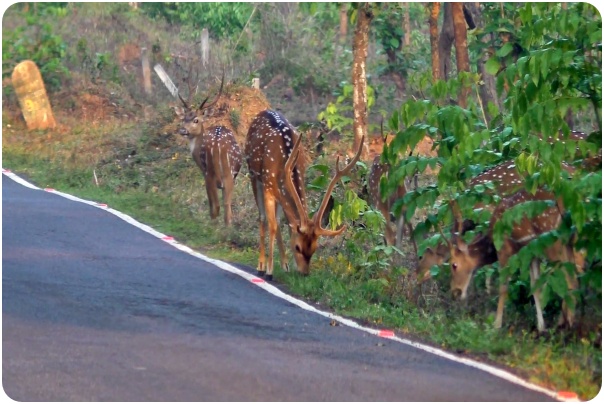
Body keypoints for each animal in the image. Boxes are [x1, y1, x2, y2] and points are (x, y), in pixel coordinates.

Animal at [173, 77, 242, 226]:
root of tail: (217, 147)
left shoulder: (204, 172)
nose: (182, 130)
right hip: (229, 175)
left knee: (217, 205)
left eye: (196, 120)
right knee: (227, 207)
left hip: (211, 174)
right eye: (184, 118)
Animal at [245, 110, 364, 280]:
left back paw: (285, 265)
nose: (304, 273)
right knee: (262, 217)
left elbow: (281, 223)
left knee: (279, 220)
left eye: (314, 248)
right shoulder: (268, 184)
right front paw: (268, 271)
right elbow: (271, 224)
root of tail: (263, 111)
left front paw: (284, 265)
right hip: (254, 174)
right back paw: (261, 266)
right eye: (297, 247)